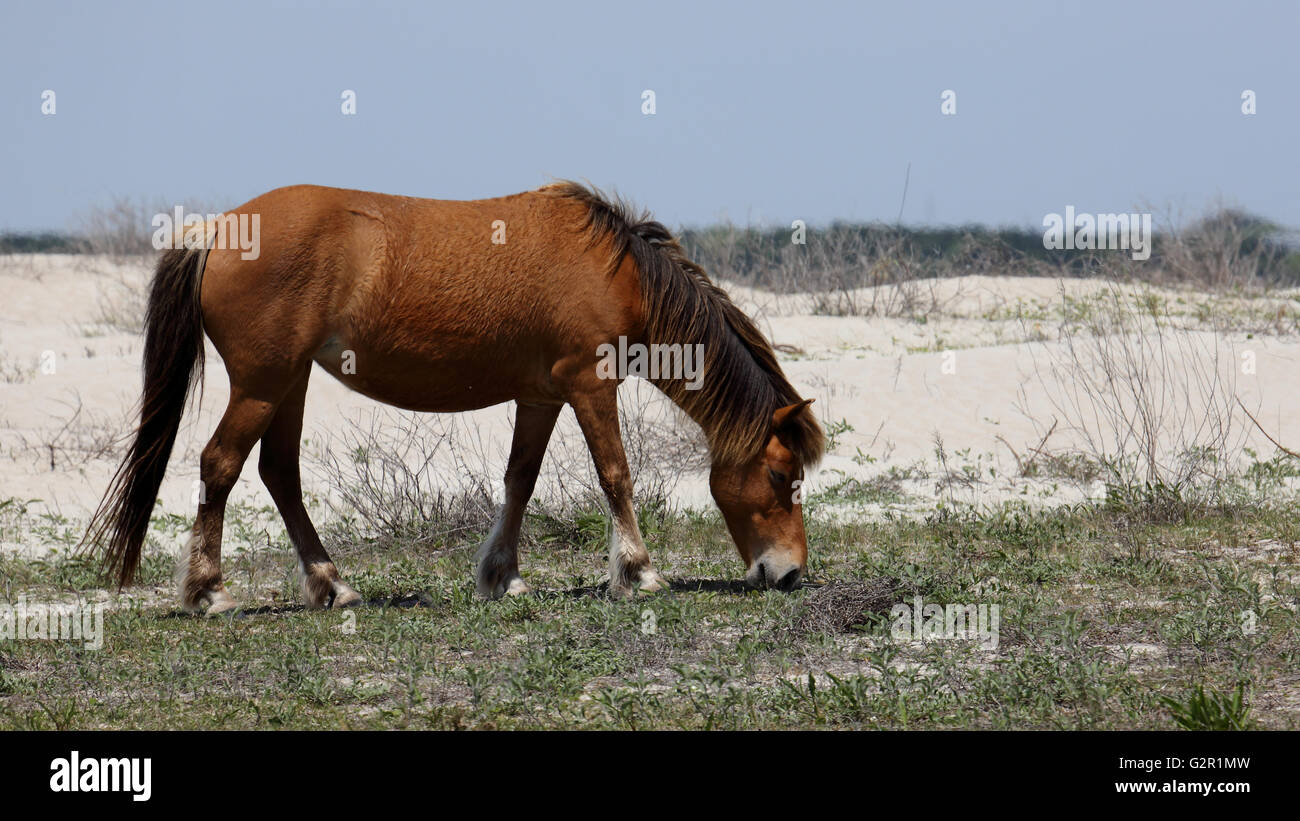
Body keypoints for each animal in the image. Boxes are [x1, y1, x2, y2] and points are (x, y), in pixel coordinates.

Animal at [86, 183, 821, 613]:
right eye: (781, 475)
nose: (788, 573)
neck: (618, 271)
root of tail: (215, 230)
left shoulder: (542, 396)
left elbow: (520, 478)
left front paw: (501, 575)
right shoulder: (591, 385)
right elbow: (615, 474)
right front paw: (638, 572)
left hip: (288, 383)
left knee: (278, 474)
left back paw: (331, 584)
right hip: (263, 384)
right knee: (220, 466)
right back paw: (206, 590)